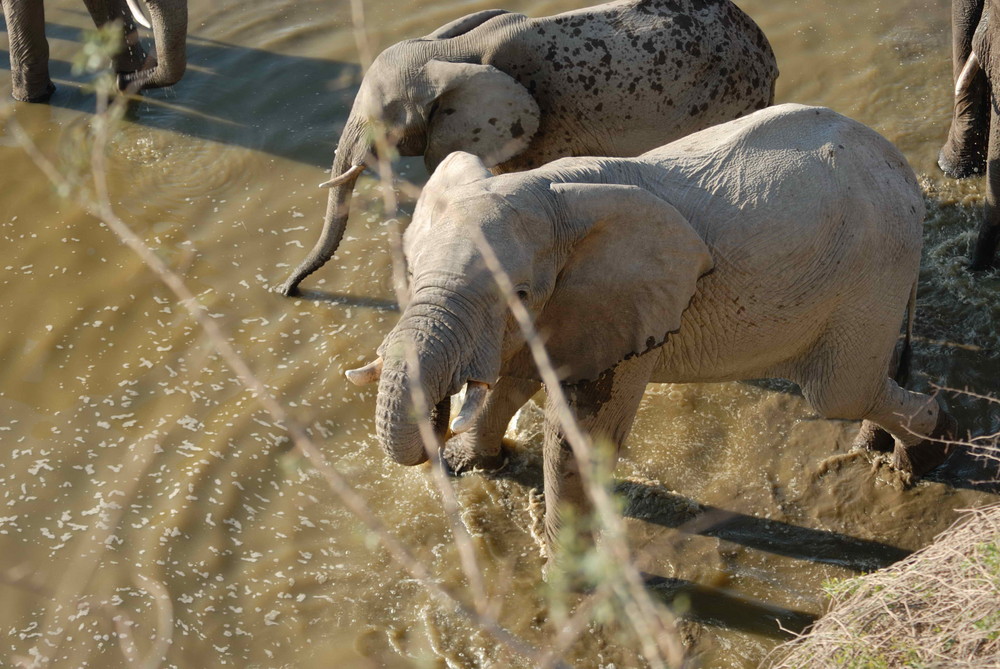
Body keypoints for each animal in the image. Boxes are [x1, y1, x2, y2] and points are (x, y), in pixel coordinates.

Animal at [278, 0, 776, 294]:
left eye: (379, 124)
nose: (289, 291)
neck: (452, 50)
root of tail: (764, 47)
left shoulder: (543, 123)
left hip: (732, 95)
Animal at [348, 104, 956, 552]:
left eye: (517, 295)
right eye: (410, 270)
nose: (440, 411)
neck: (548, 188)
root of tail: (899, 164)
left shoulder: (626, 308)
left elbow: (578, 433)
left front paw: (568, 572)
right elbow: (516, 379)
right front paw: (473, 466)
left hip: (875, 265)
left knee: (838, 392)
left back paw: (928, 450)